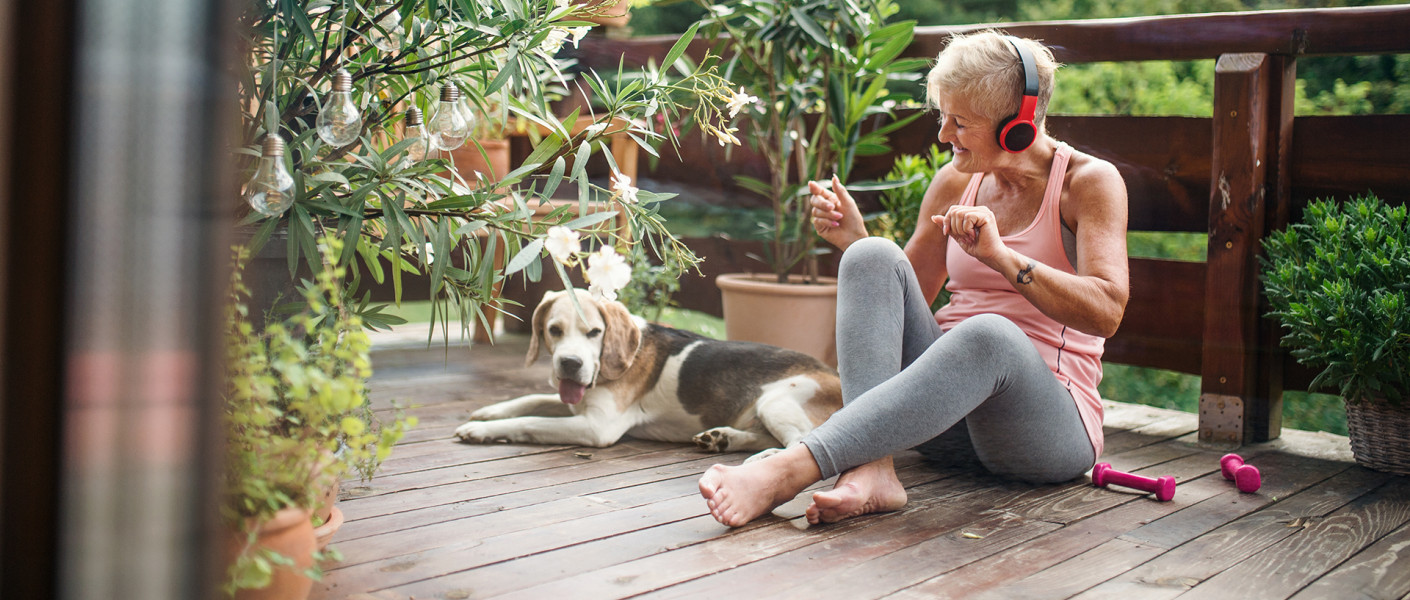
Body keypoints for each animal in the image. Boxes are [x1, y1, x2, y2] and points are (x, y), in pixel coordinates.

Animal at [456, 290, 840, 459]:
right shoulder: (576, 402)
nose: (570, 364)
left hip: (777, 401)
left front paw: (482, 431)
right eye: (554, 330)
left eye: (594, 332)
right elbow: (532, 398)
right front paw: (489, 412)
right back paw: (722, 439)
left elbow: (531, 422)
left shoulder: (597, 428)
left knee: (800, 442)